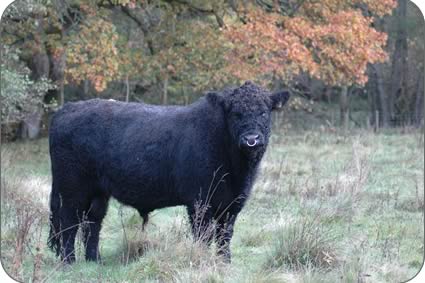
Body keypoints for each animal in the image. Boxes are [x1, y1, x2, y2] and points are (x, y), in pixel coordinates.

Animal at [48, 81, 290, 264]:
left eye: (264, 112)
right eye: (235, 114)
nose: (251, 139)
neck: (237, 172)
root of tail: (66, 109)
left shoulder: (232, 204)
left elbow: (224, 236)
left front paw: (224, 263)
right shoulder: (199, 202)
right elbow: (203, 235)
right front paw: (201, 260)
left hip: (98, 192)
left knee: (92, 222)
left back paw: (94, 260)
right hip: (71, 189)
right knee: (68, 222)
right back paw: (69, 261)